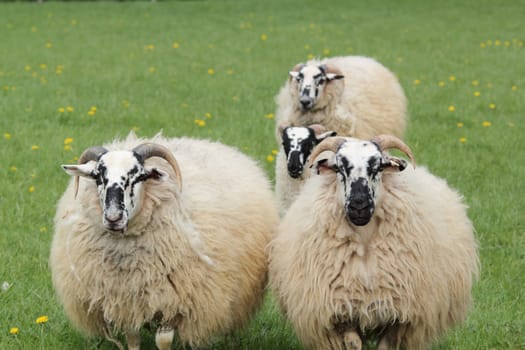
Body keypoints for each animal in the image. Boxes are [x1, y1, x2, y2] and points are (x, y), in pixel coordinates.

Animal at [50, 132, 278, 350]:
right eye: (98, 177)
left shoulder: (173, 301)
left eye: (139, 176)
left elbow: (164, 341)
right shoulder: (126, 302)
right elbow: (132, 339)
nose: (113, 217)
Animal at [270, 135, 478, 350]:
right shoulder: (341, 313)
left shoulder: (398, 316)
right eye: (340, 168)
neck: (365, 245)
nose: (359, 205)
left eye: (378, 167)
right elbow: (354, 344)